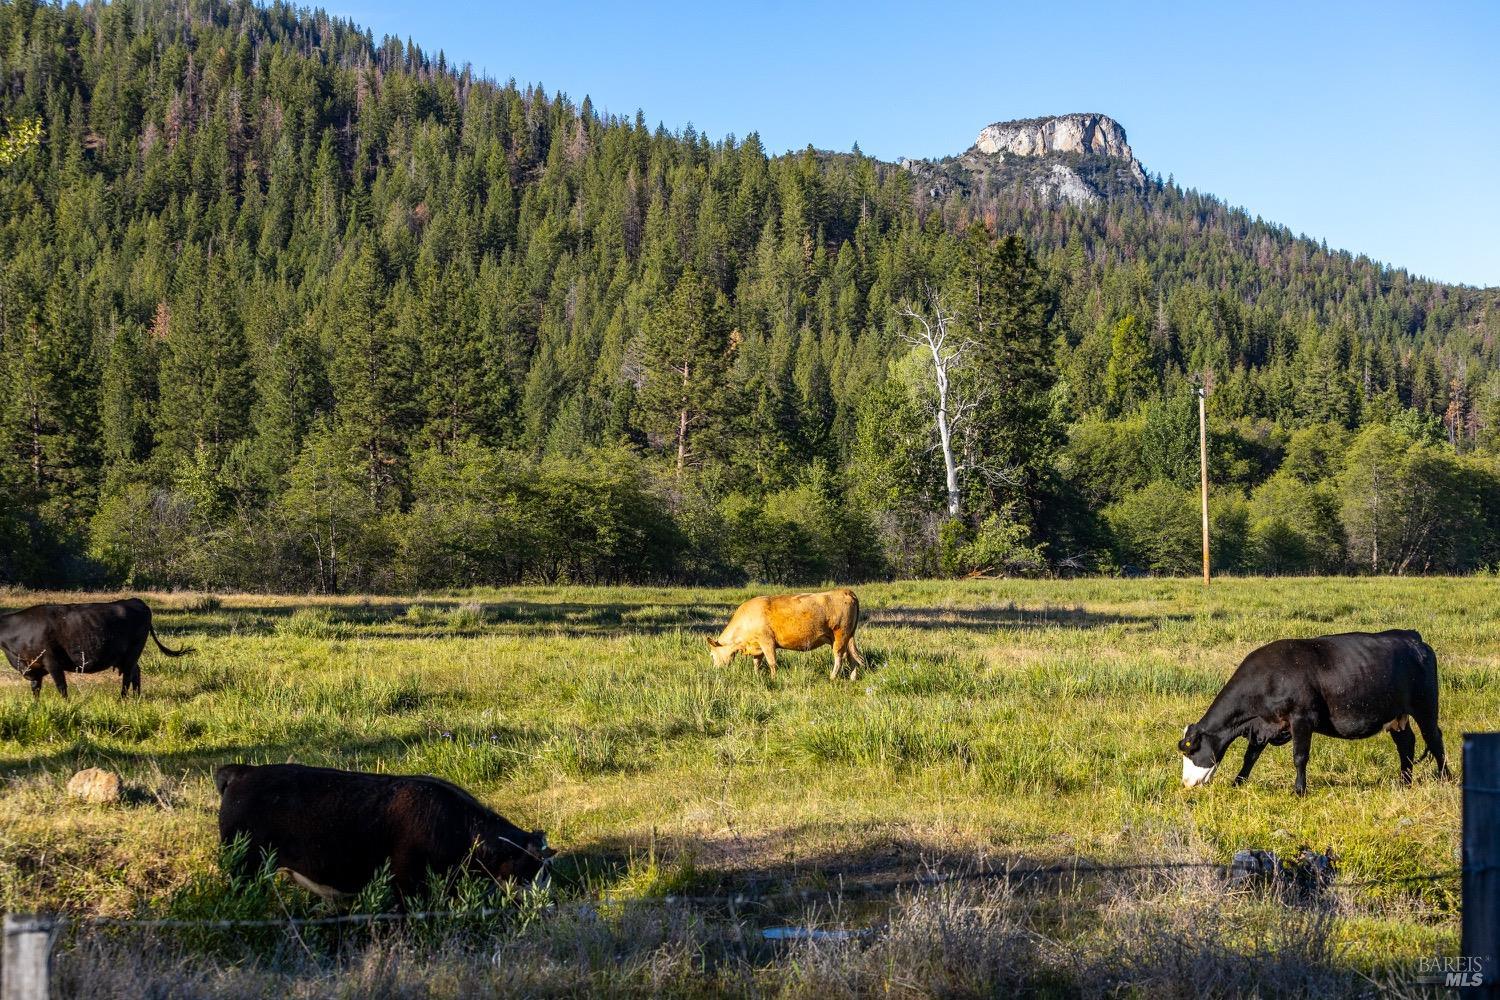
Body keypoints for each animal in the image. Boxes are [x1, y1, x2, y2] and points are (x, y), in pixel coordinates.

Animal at [0, 599, 193, 701]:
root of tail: (135, 601)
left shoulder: (52, 661)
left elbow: (61, 687)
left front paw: (66, 705)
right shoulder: (33, 666)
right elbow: (35, 689)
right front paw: (36, 706)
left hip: (133, 651)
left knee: (128, 676)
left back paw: (122, 699)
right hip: (128, 656)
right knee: (136, 673)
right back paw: (136, 697)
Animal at [705, 587, 870, 680]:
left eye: (712, 655)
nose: (716, 671)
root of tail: (845, 591)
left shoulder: (767, 641)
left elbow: (772, 662)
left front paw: (773, 679)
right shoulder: (757, 645)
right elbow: (757, 662)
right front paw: (757, 676)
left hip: (840, 635)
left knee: (839, 656)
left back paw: (832, 677)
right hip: (846, 637)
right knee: (852, 657)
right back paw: (853, 678)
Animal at [1176, 632, 1446, 797]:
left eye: (1190, 749)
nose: (1186, 783)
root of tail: (1411, 637)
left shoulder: (1301, 719)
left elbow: (1299, 757)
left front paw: (1299, 790)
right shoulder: (1264, 724)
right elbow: (1250, 756)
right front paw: (1238, 783)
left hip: (1425, 707)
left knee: (1434, 739)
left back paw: (1445, 778)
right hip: (1396, 715)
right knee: (1406, 743)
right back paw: (1404, 782)